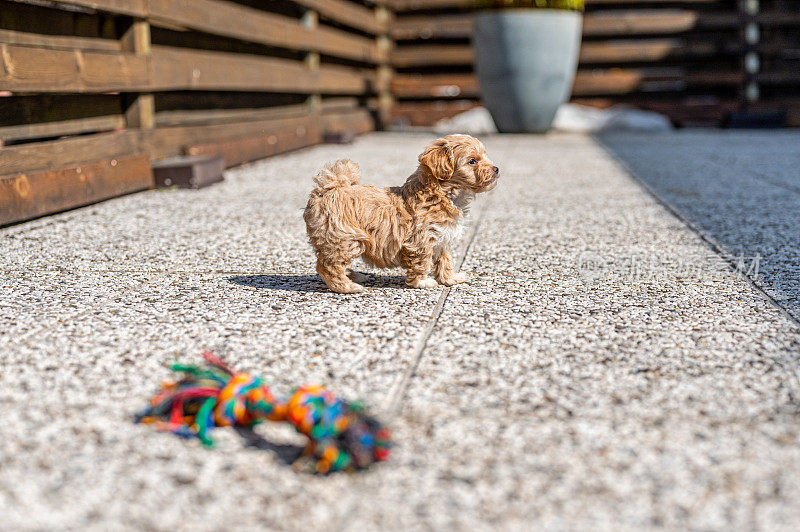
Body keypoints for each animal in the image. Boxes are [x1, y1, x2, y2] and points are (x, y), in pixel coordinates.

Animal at [306, 132, 500, 290]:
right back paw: (347, 286)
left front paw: (450, 279)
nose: (496, 169)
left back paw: (355, 277)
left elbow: (445, 260)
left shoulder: (442, 238)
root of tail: (327, 189)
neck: (446, 194)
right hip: (345, 237)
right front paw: (423, 282)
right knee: (329, 266)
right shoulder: (421, 240)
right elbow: (422, 261)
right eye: (472, 161)